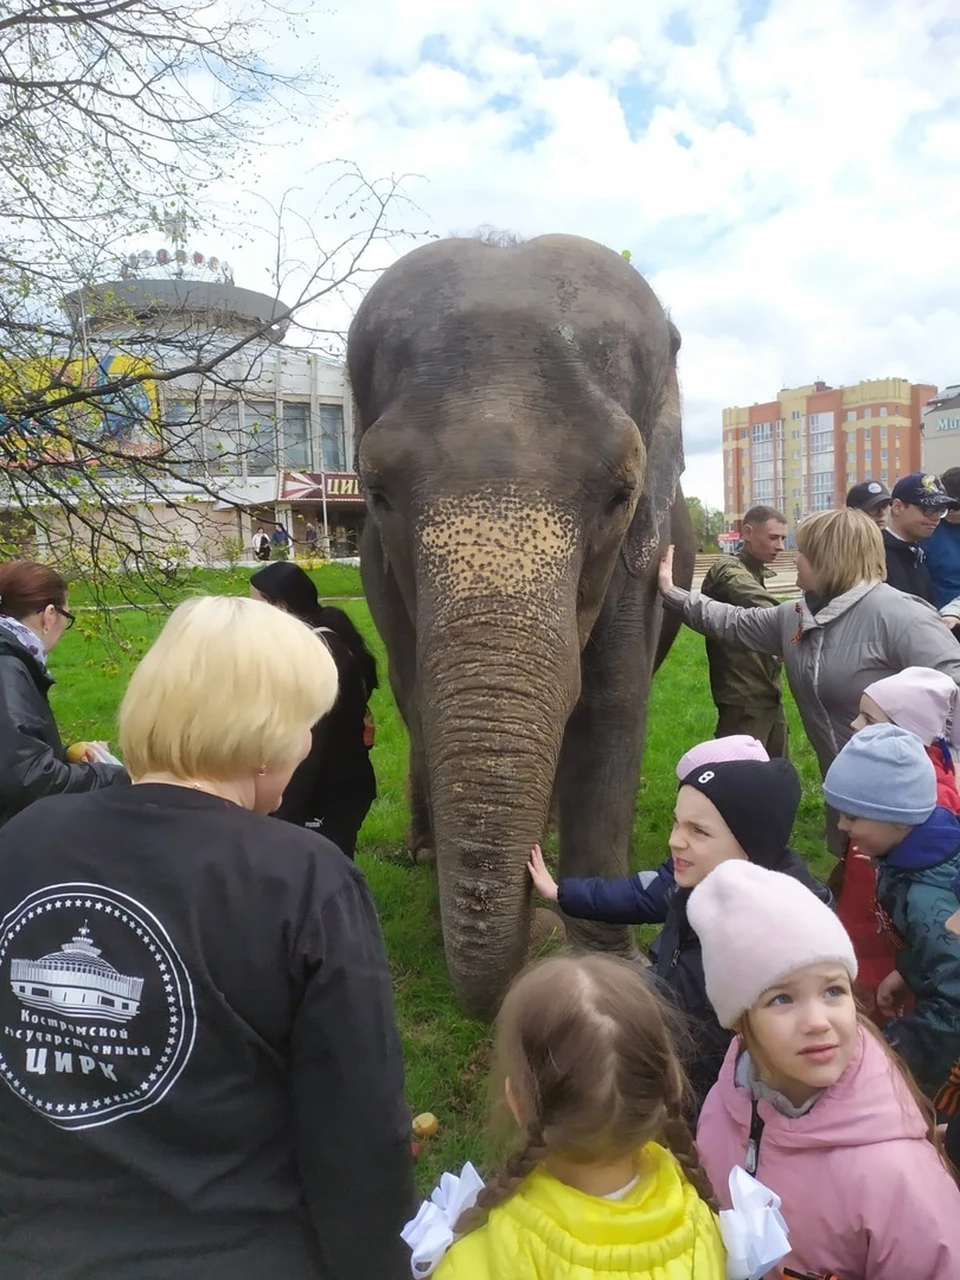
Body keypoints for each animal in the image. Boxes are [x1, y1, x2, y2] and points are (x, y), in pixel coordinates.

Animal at [350, 232, 696, 1018]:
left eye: (620, 494)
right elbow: (418, 695)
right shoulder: (381, 574)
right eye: (377, 493)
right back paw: (426, 851)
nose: (537, 921)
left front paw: (604, 970)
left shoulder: (642, 553)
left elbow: (610, 704)